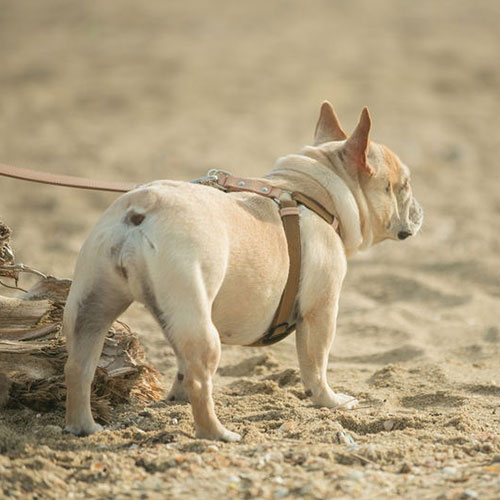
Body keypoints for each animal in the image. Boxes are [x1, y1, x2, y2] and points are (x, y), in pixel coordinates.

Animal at [62, 102, 422, 442]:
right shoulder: (321, 310)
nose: (420, 207)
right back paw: (216, 433)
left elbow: (179, 367)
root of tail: (140, 209)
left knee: (80, 365)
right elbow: (316, 363)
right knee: (200, 379)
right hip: (198, 317)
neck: (314, 191)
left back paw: (83, 427)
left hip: (90, 307)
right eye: (404, 186)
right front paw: (330, 401)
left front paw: (174, 398)